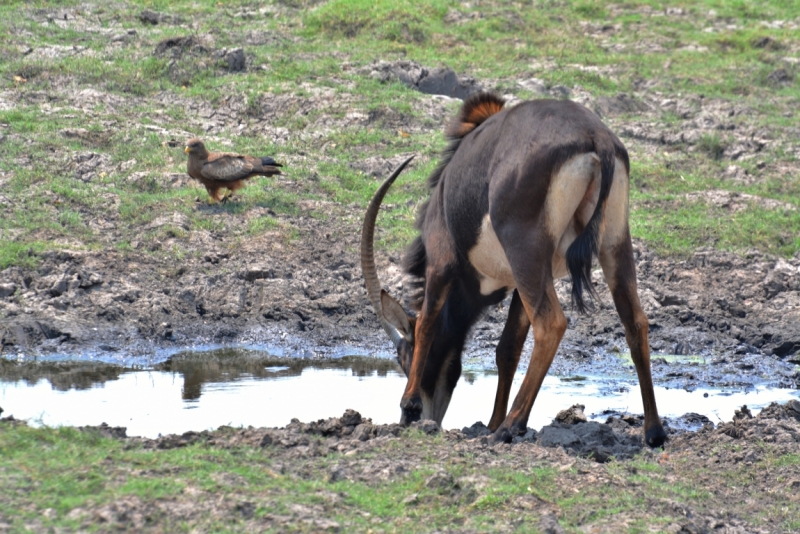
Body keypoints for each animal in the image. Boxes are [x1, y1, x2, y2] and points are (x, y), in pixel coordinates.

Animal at [362, 92, 668, 448]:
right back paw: (653, 432)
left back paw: (512, 426)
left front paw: (410, 402)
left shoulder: (441, 261)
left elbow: (427, 322)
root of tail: (597, 139)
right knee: (635, 321)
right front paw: (491, 421)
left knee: (551, 324)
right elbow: (507, 348)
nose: (422, 419)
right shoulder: (522, 285)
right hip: (610, 244)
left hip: (526, 251)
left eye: (403, 357)